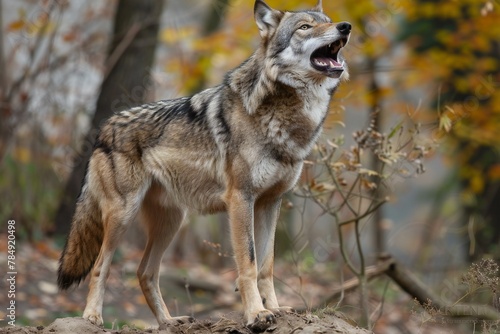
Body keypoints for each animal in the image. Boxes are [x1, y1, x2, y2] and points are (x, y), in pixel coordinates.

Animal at [56, 0, 350, 328]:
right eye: (305, 27)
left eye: (329, 20)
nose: (345, 27)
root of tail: (103, 129)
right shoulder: (241, 198)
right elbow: (249, 263)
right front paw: (256, 313)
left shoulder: (270, 202)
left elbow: (267, 265)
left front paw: (276, 309)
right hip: (123, 215)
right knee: (100, 266)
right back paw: (92, 316)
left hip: (171, 222)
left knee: (145, 272)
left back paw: (168, 322)